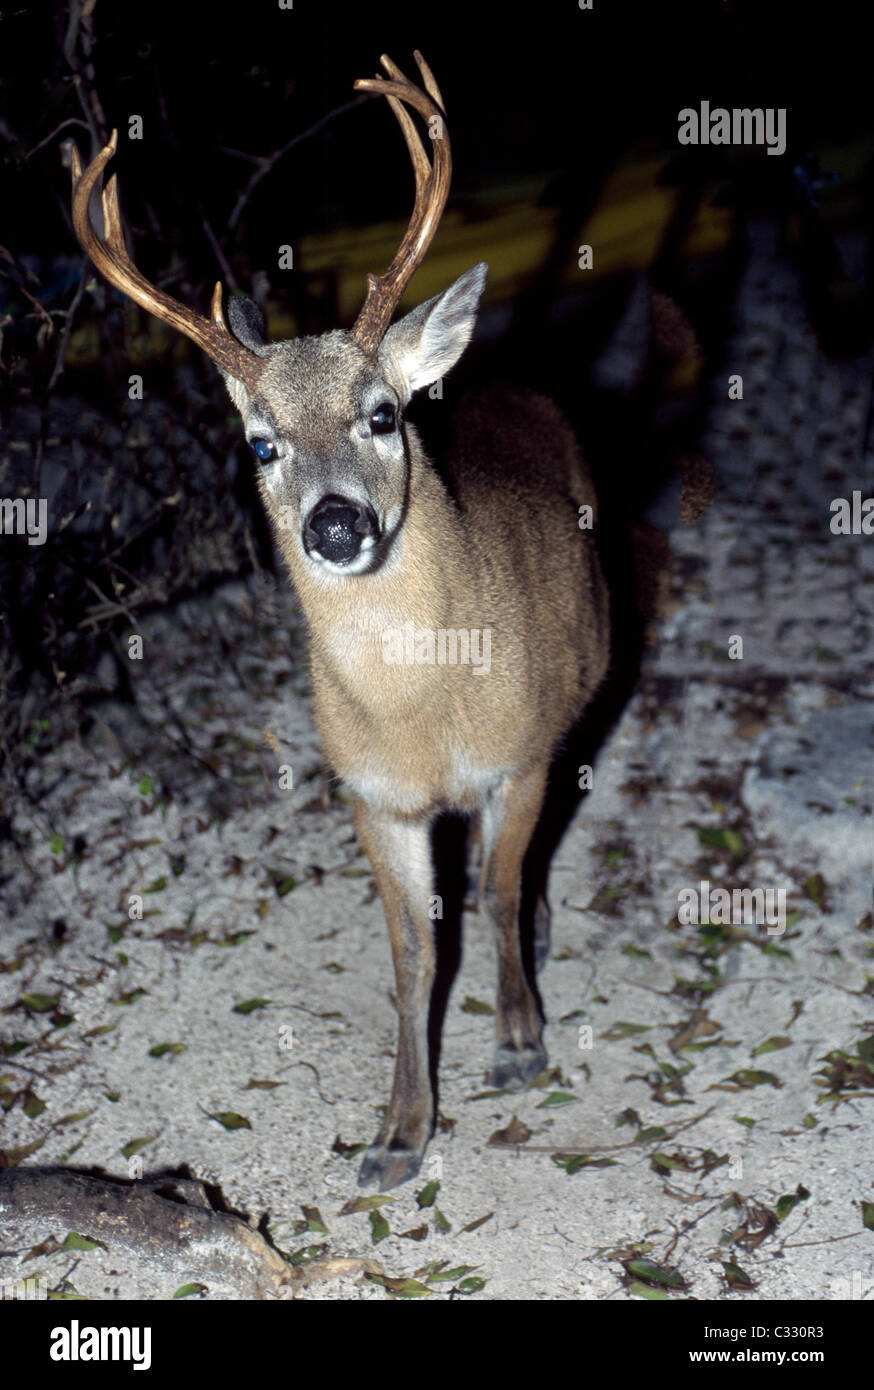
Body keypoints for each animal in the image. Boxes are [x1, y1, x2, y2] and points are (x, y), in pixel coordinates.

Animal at [70, 51, 610, 1190]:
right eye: (261, 443)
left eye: (382, 413)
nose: (333, 522)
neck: (423, 712)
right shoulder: (372, 795)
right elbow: (413, 954)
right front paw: (397, 1135)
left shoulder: (517, 756)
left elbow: (496, 893)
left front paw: (518, 1044)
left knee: (523, 863)